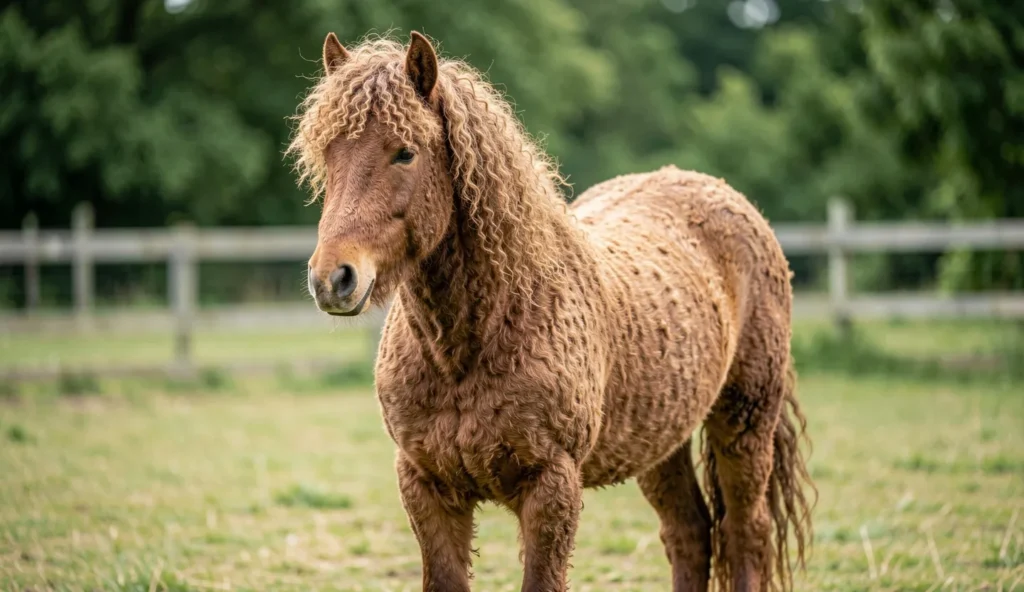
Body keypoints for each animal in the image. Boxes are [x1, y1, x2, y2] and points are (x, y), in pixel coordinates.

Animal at [288, 31, 814, 592]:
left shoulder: (551, 488)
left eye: (405, 153)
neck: (475, 341)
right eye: (327, 154)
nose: (332, 279)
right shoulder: (426, 486)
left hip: (744, 423)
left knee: (745, 532)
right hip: (662, 440)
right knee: (690, 532)